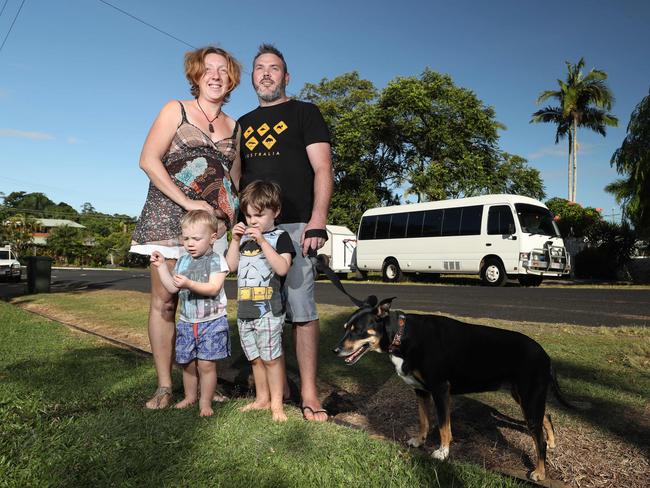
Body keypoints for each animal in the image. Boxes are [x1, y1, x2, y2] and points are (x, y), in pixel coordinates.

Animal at [332, 296, 576, 482]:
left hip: (529, 399)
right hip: (524, 397)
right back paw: (553, 442)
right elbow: (424, 420)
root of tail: (546, 356)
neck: (404, 336)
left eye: (357, 330)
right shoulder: (421, 392)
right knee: (548, 417)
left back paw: (540, 472)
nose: (335, 350)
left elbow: (443, 426)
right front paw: (420, 441)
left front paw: (442, 452)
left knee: (539, 439)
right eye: (345, 329)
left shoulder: (440, 391)